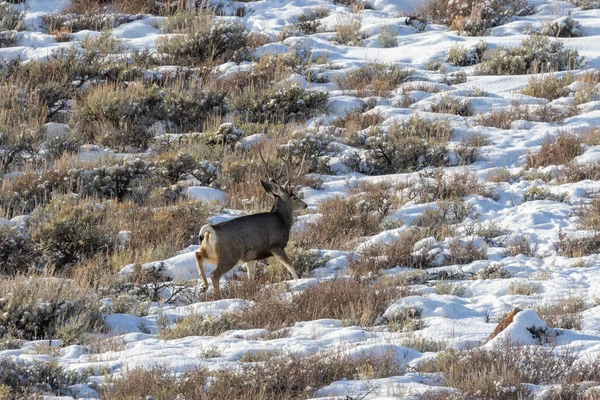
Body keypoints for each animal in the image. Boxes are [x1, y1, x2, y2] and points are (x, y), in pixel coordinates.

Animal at [195, 155, 308, 296]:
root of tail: (211, 230)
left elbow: (251, 276)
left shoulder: (251, 257)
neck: (282, 220)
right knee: (214, 274)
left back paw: (203, 287)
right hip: (230, 255)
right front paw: (299, 281)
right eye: (294, 198)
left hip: (212, 253)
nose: (305, 205)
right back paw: (217, 294)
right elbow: (291, 267)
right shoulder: (276, 246)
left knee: (198, 255)